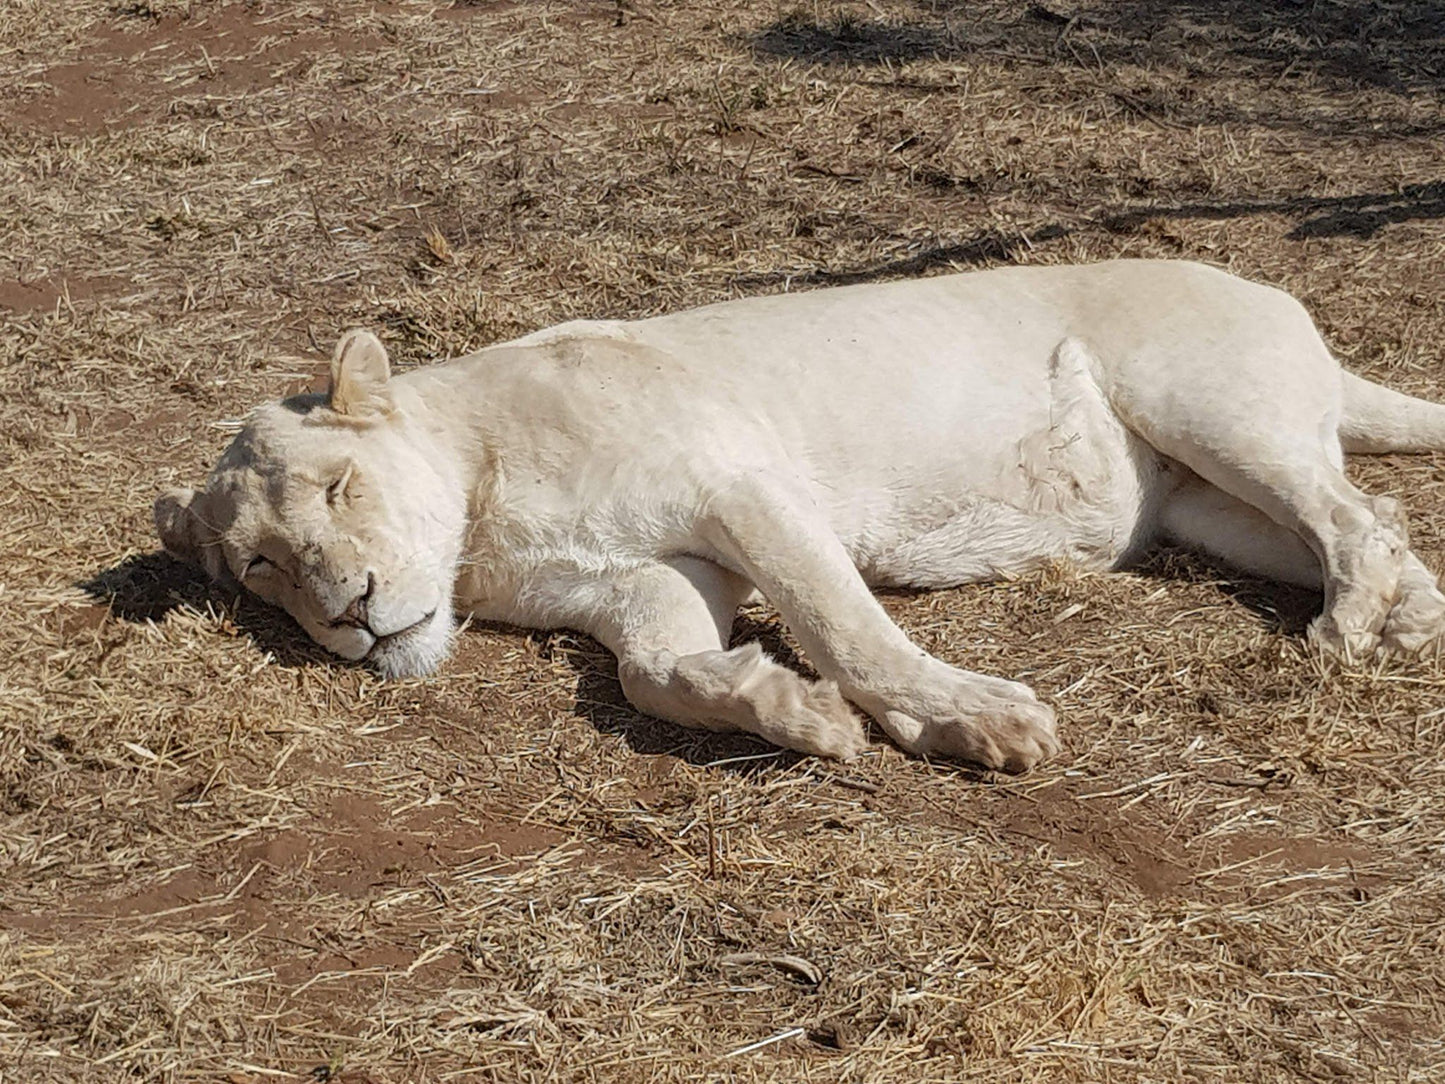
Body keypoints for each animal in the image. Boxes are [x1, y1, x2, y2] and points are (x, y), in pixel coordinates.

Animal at [152, 261, 1445, 774]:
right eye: (261, 568)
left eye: (338, 489)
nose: (353, 615)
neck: (480, 513)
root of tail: (1277, 296)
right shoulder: (647, 578)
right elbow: (653, 675)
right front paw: (793, 713)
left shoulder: (742, 484)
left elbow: (845, 622)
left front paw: (969, 720)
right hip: (1203, 509)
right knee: (1375, 513)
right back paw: (1404, 621)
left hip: (1200, 402)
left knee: (1352, 515)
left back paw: (1346, 631)